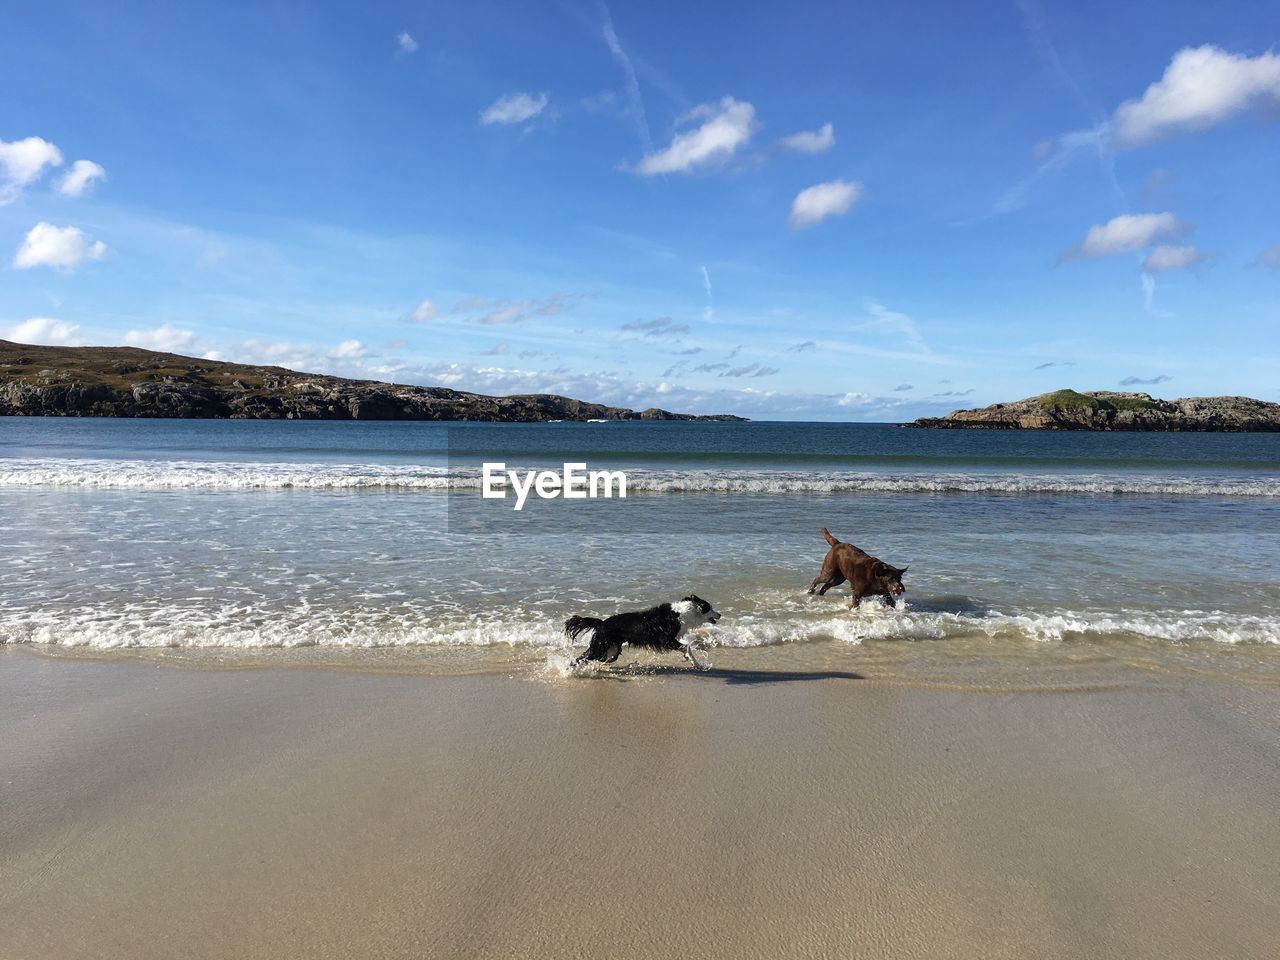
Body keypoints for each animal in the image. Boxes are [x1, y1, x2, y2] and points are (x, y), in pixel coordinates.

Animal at [568, 599, 721, 670]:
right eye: (710, 608)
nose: (720, 614)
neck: (683, 613)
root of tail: (601, 623)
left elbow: (686, 647)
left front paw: (692, 661)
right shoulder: (665, 640)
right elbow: (687, 646)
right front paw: (696, 663)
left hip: (611, 650)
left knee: (602, 659)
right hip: (600, 647)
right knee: (581, 657)